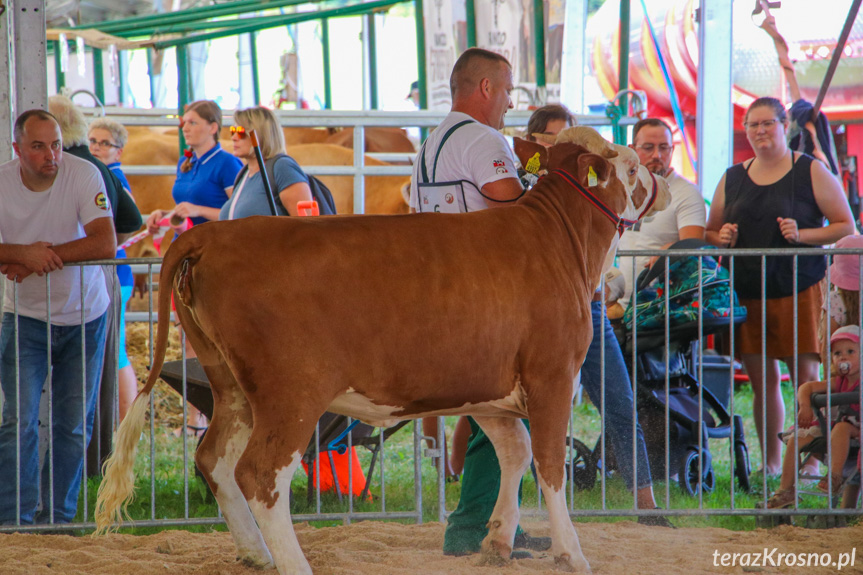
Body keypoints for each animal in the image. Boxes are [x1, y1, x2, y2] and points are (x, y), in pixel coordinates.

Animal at [96, 128, 676, 572]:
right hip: (290, 394)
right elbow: (550, 464)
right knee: (259, 474)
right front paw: (571, 552)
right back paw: (293, 562)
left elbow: (513, 453)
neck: (556, 239)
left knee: (213, 458)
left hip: (229, 384)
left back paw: (256, 553)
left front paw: (496, 542)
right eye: (628, 163)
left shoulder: (486, 389)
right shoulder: (552, 374)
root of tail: (214, 236)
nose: (665, 178)